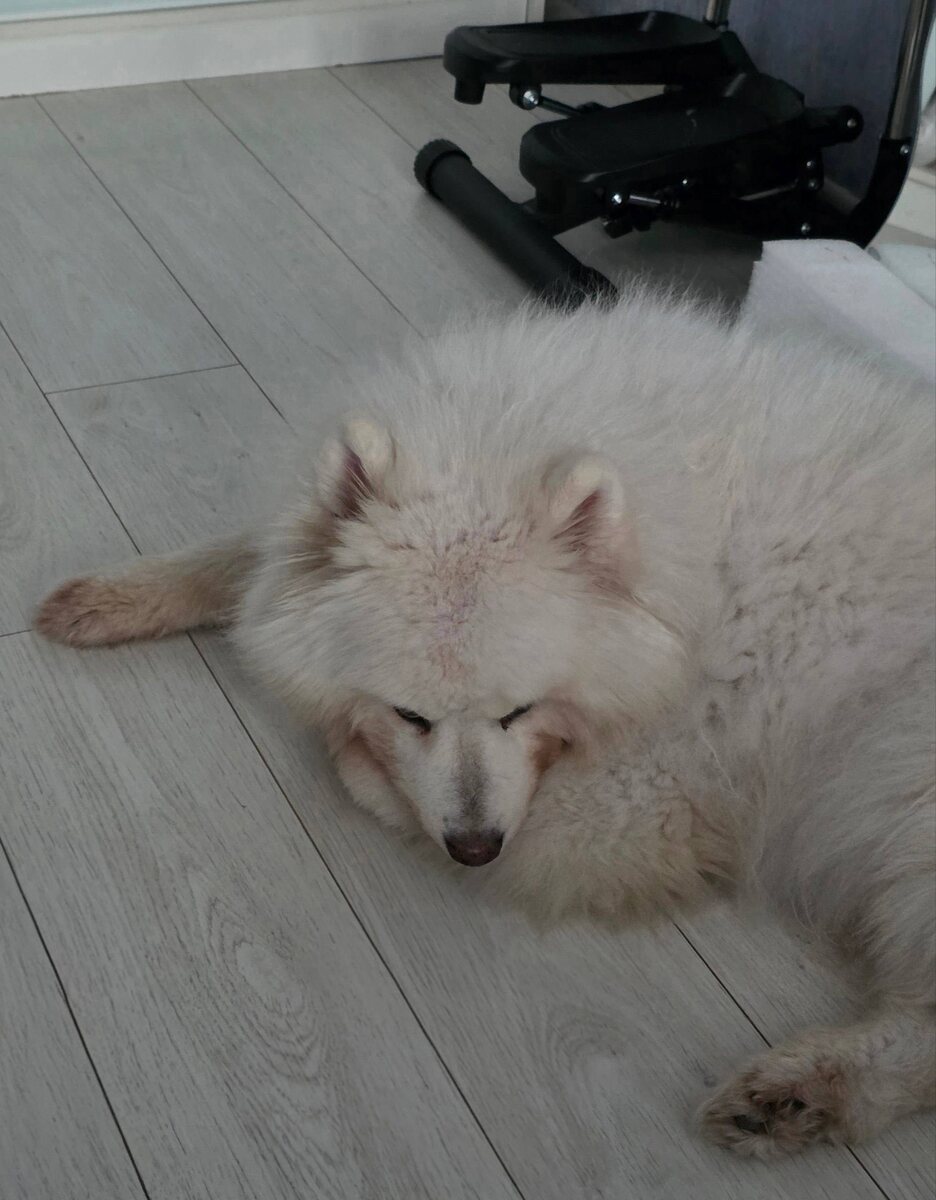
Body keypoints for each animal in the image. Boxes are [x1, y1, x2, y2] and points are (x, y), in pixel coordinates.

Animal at [37, 289, 935, 1158]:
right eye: (413, 712)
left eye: (518, 712)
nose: (474, 849)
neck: (682, 581)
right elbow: (250, 558)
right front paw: (114, 597)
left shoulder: (636, 808)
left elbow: (349, 755)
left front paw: (319, 712)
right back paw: (794, 1102)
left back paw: (805, 1088)